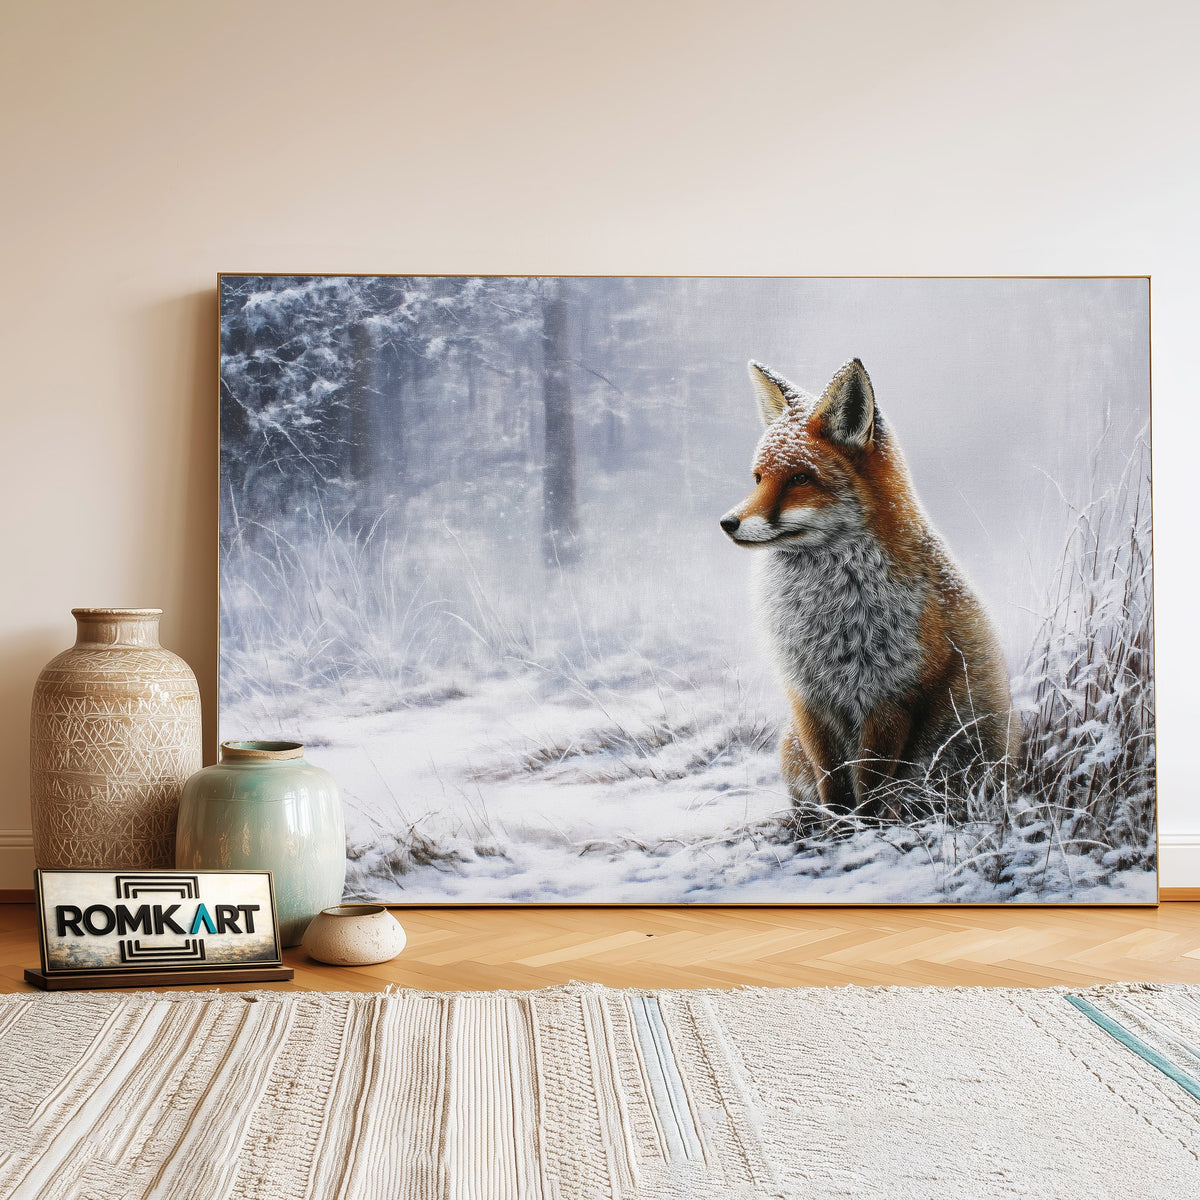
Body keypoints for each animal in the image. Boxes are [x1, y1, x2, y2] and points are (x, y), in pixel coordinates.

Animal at [720, 358, 1020, 821]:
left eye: (800, 478)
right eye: (758, 479)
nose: (728, 522)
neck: (828, 616)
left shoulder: (891, 697)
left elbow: (871, 787)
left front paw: (864, 830)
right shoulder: (809, 698)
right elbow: (833, 781)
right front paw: (837, 828)